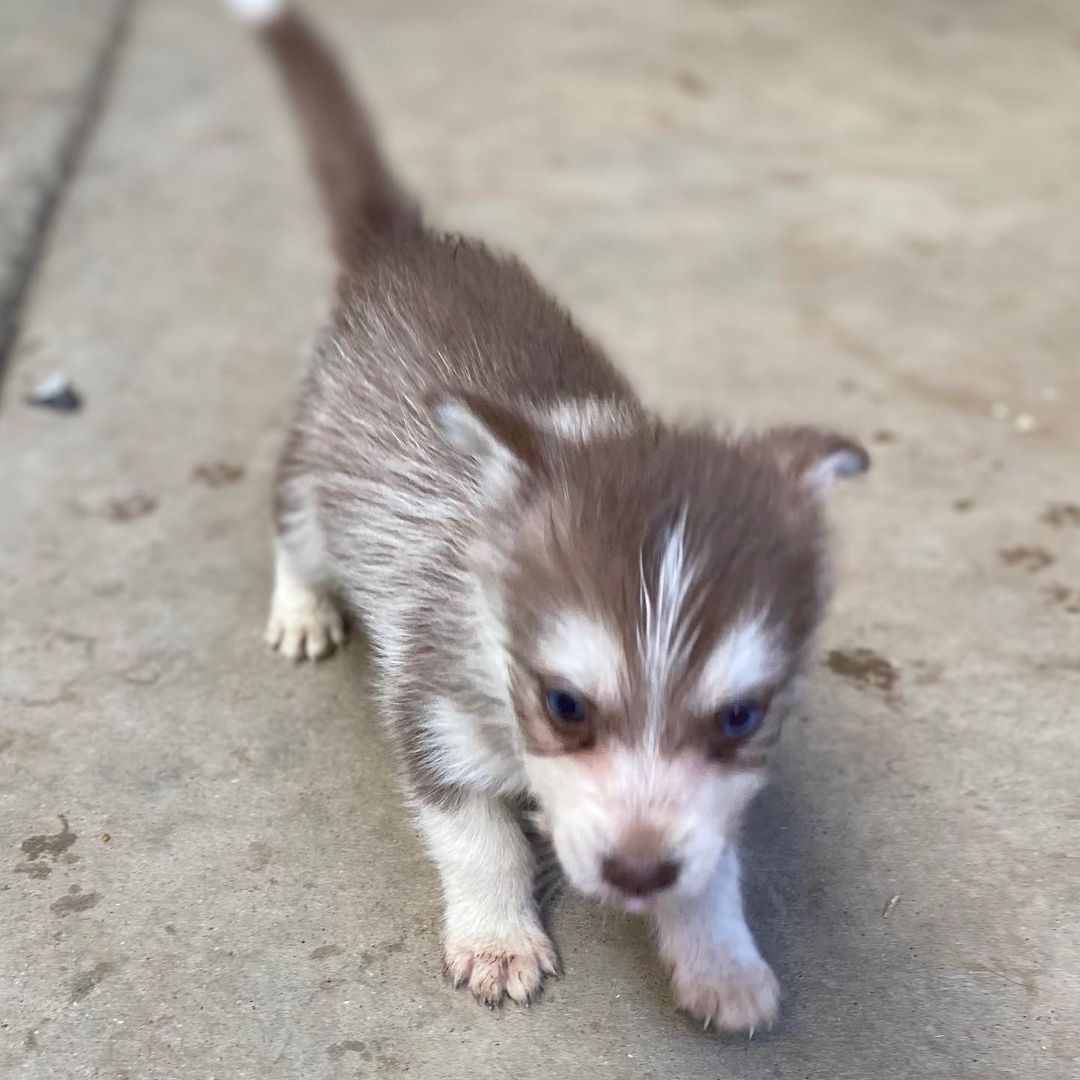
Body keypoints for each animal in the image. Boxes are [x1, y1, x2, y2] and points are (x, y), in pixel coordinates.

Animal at [225, 0, 868, 1032]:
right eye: (565, 705)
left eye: (740, 715)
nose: (638, 872)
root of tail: (403, 242)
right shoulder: (430, 710)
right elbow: (477, 834)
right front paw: (496, 935)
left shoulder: (718, 795)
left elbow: (715, 864)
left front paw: (720, 956)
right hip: (318, 463)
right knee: (293, 525)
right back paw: (303, 606)